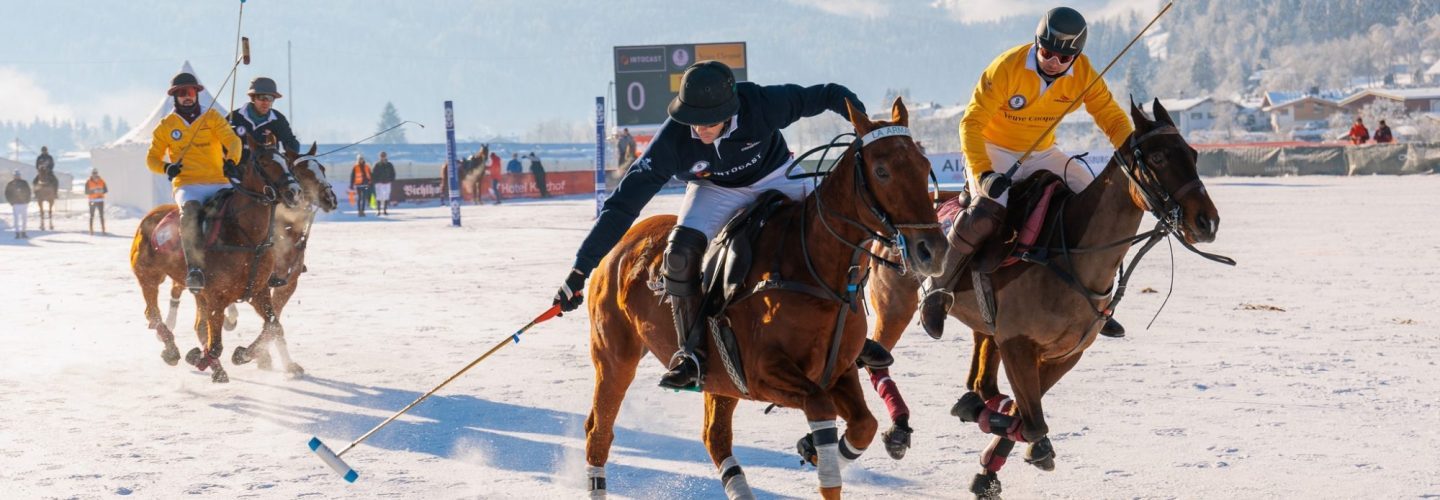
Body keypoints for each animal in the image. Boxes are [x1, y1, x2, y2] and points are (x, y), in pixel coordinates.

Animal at [133, 136, 306, 383]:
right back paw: (172, 351)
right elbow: (215, 346)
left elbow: (274, 326)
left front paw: (242, 354)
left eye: (286, 161)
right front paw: (198, 357)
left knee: (196, 325)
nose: (294, 191)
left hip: (197, 292)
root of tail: (150, 215)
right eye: (263, 162)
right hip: (148, 275)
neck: (248, 237)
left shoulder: (257, 291)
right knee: (153, 314)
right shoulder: (217, 296)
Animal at [578, 98, 950, 500]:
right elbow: (822, 413)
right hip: (614, 356)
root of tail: (621, 242)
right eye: (881, 171)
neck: (815, 268)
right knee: (598, 430)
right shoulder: (763, 372)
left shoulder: (838, 369)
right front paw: (815, 449)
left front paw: (812, 448)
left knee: (714, 436)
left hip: (719, 378)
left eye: (924, 165)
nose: (933, 250)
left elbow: (863, 425)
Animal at [858, 100, 1232, 498]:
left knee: (982, 382)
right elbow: (1033, 423)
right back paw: (898, 428)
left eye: (1193, 154)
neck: (1071, 255)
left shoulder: (1065, 352)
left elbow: (1026, 413)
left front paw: (987, 470)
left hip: (983, 326)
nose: (1207, 222)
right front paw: (988, 429)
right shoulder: (1017, 343)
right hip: (895, 303)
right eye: (1159, 157)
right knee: (875, 356)